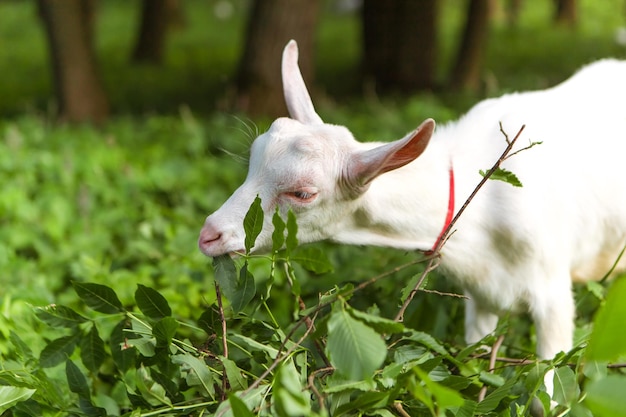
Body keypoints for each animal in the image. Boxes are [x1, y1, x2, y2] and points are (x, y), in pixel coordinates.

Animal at [201, 40, 624, 394]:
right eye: (253, 160)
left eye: (303, 193)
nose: (209, 235)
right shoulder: (480, 296)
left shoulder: (553, 295)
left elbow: (547, 390)